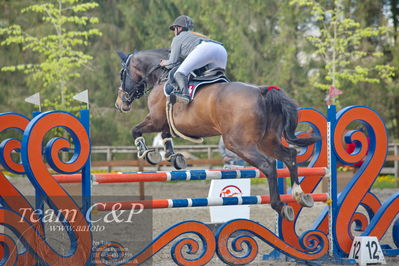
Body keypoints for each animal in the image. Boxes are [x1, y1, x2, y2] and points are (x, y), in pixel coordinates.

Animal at [114, 48, 320, 220]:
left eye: (122, 73)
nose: (120, 104)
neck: (162, 77)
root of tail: (262, 91)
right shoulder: (166, 123)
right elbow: (166, 136)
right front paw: (174, 157)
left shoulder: (155, 120)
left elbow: (136, 130)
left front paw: (147, 153)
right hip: (267, 141)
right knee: (289, 155)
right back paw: (300, 195)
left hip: (238, 143)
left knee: (268, 165)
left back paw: (280, 206)